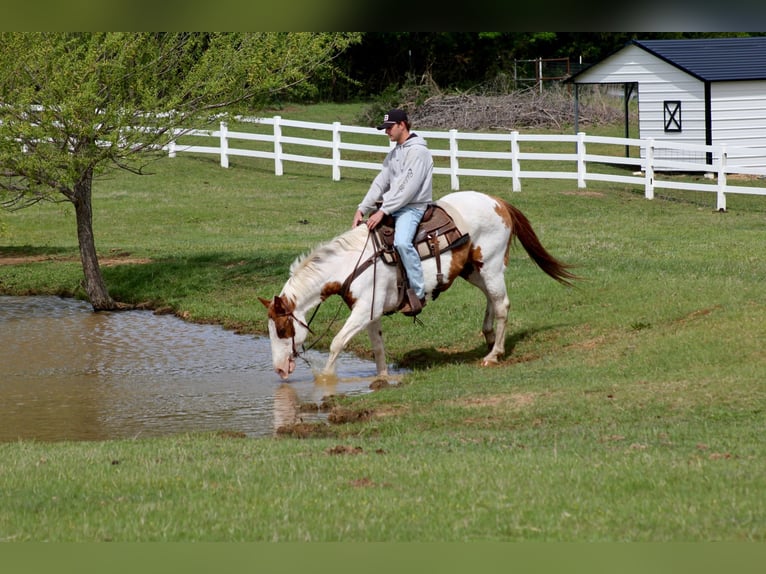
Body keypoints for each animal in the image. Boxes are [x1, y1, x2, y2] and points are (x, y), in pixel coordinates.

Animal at [259, 190, 577, 380]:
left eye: (282, 329)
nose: (279, 369)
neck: (352, 263)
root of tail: (498, 201)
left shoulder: (363, 311)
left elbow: (338, 341)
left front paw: (325, 380)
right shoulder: (372, 311)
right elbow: (377, 346)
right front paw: (383, 378)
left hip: (492, 264)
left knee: (502, 304)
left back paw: (493, 355)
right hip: (473, 270)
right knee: (491, 298)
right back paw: (488, 338)